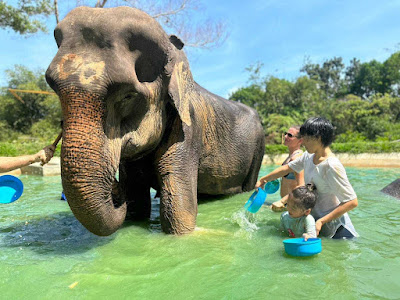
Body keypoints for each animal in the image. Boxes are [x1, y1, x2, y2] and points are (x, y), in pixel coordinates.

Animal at [46, 7, 266, 236]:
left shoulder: (188, 129)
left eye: (128, 96)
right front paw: (133, 209)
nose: (117, 195)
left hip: (259, 148)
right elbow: (137, 203)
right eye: (53, 88)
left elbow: (177, 216)